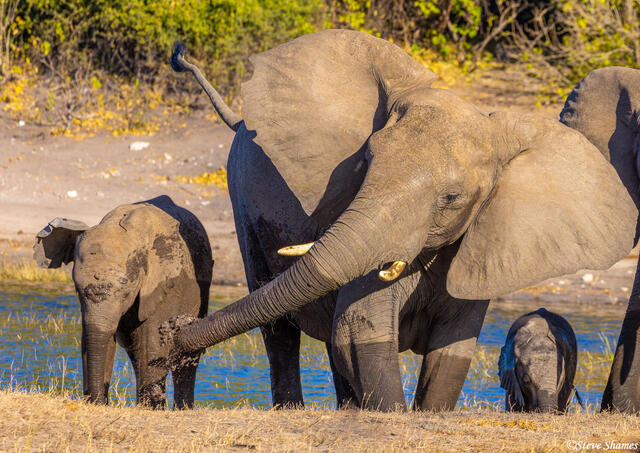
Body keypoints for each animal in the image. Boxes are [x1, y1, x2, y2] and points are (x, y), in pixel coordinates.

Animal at [34, 195, 213, 409]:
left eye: (126, 292)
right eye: (77, 288)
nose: (98, 401)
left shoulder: (165, 284)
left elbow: (153, 343)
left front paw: (150, 410)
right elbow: (93, 339)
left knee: (184, 356)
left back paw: (179, 408)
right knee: (135, 352)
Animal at [167, 30, 636, 411]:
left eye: (452, 198)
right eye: (365, 162)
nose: (176, 331)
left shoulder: (479, 243)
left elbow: (451, 351)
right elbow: (360, 331)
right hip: (242, 198)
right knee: (278, 327)